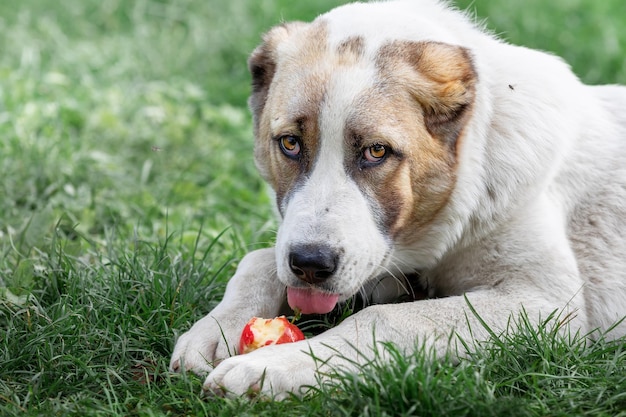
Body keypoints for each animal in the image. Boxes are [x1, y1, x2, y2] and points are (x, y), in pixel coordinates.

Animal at [169, 0, 624, 396]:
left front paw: (269, 367)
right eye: (290, 143)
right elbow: (260, 259)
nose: (311, 265)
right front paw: (218, 326)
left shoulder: (543, 304)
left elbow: (383, 318)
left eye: (376, 151)